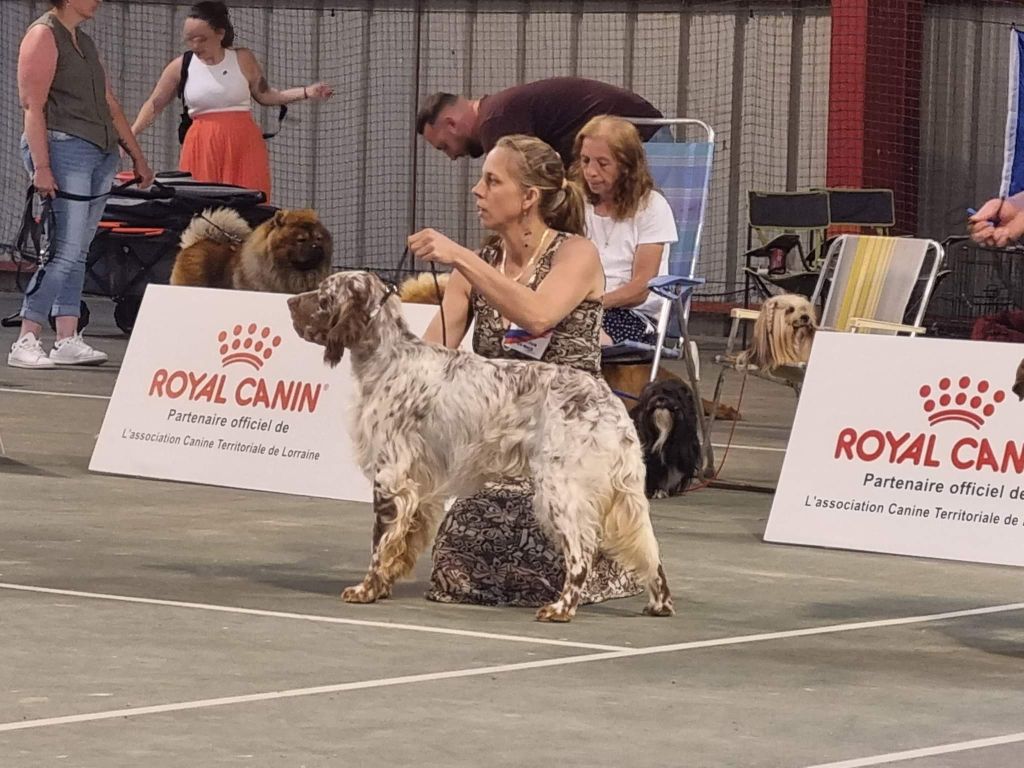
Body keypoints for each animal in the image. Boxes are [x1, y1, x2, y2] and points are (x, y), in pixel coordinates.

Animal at [288, 274, 671, 622]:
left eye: (324, 295)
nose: (290, 302)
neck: (388, 358)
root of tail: (609, 402)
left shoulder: (390, 477)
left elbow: (379, 545)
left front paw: (365, 590)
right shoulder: (418, 487)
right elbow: (400, 543)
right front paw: (382, 586)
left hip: (560, 492)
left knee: (582, 555)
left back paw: (561, 608)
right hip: (621, 497)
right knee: (651, 550)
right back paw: (659, 603)